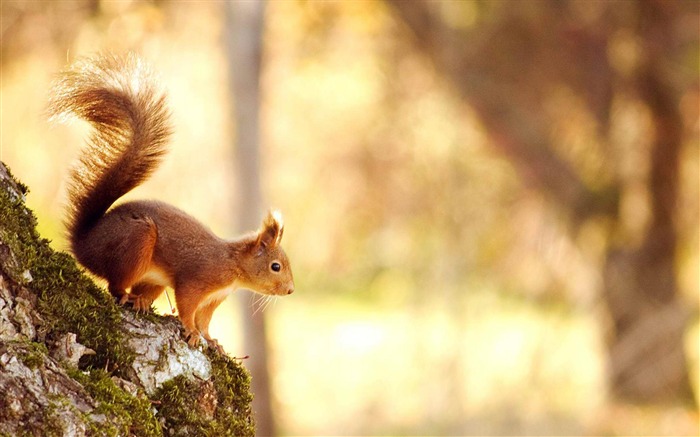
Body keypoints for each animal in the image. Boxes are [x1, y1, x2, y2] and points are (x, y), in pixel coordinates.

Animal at [49, 52, 294, 350]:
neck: (233, 265)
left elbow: (205, 319)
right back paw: (128, 296)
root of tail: (84, 244)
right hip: (136, 242)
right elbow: (188, 306)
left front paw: (211, 340)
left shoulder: (214, 298)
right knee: (115, 285)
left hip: (153, 278)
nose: (290, 290)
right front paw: (190, 331)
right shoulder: (198, 280)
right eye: (275, 266)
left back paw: (141, 301)